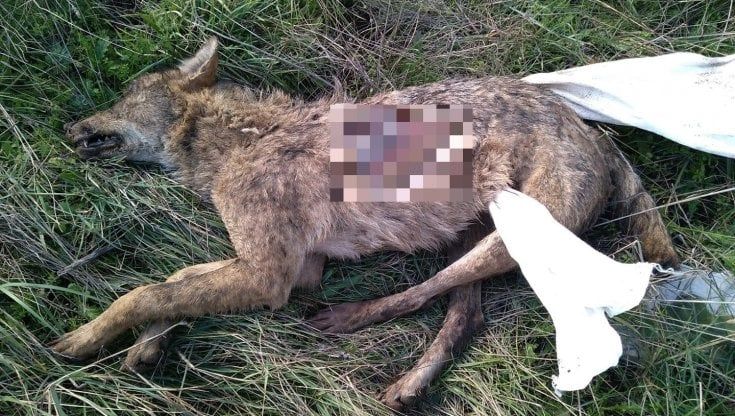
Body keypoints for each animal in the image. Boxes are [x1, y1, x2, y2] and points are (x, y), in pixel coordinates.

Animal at [58, 37, 679, 410]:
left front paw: (84, 339)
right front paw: (148, 345)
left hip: (506, 241)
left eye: (123, 96)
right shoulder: (293, 268)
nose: (69, 127)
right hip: (475, 236)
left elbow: (143, 292)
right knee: (464, 318)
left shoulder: (271, 278)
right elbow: (174, 282)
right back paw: (408, 387)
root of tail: (596, 133)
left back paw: (346, 319)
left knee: (426, 294)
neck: (240, 142)